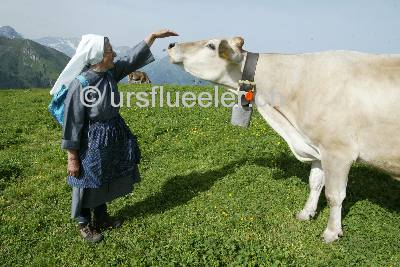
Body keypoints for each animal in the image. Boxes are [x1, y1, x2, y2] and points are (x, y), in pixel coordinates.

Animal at [167, 36, 400, 244]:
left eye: (211, 45)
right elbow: (315, 183)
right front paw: (306, 213)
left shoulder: (338, 151)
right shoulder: (316, 146)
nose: (170, 44)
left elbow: (334, 195)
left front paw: (332, 232)